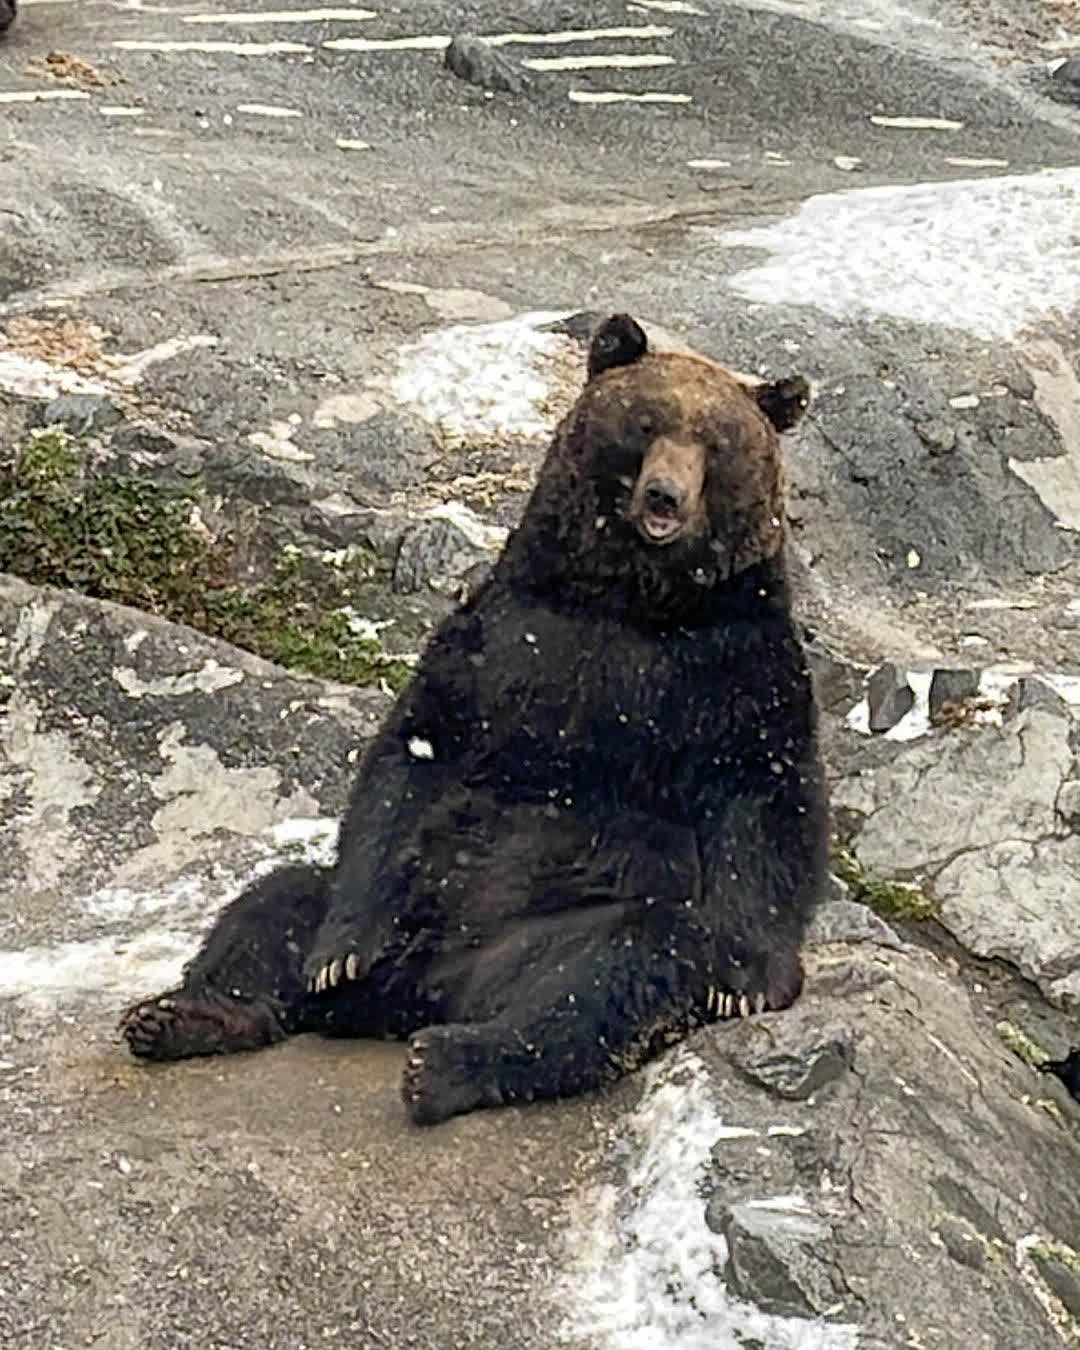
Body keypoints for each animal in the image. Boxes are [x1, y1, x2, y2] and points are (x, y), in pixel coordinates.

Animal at [119, 313, 828, 1127]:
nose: (665, 497)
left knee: (615, 972)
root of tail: (421, 992)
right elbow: (417, 746)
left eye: (716, 442)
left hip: (549, 933)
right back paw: (185, 1014)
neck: (630, 600)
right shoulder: (501, 633)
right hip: (411, 900)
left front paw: (747, 979)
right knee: (280, 902)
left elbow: (767, 792)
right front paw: (339, 954)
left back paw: (450, 1062)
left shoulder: (731, 666)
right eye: (646, 422)